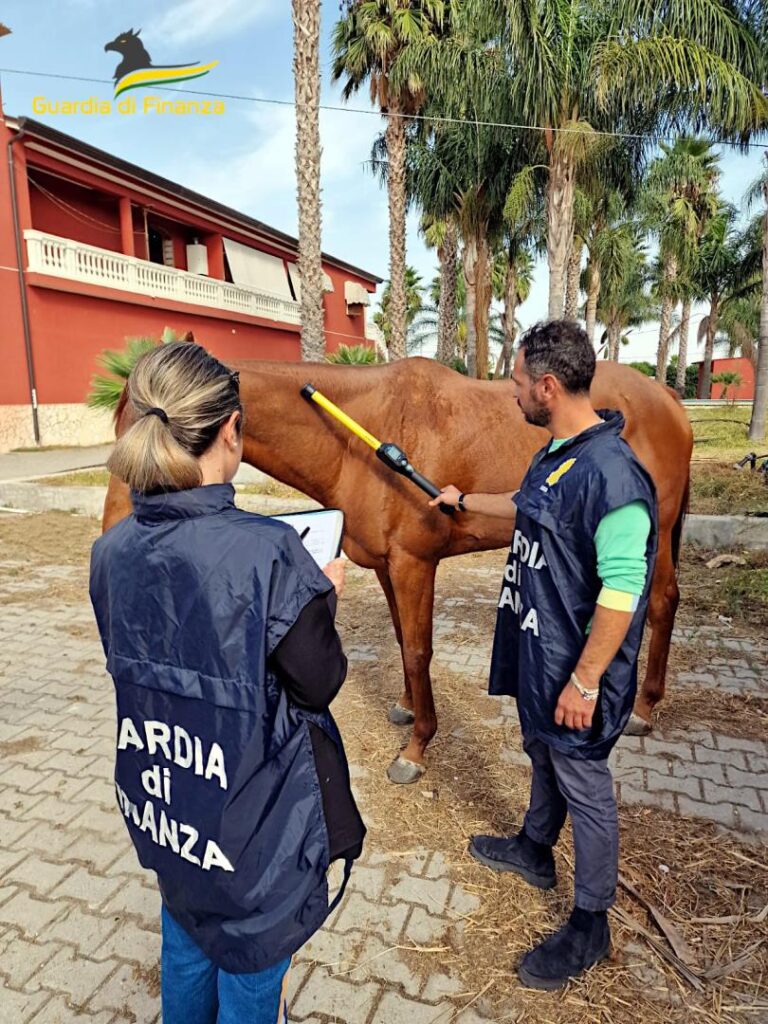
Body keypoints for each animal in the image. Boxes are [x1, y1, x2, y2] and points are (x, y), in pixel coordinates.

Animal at [100, 358, 692, 782]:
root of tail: (665, 397)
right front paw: (407, 711)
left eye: (163, 437)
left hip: (655, 532)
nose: (113, 528)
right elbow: (403, 640)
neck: (364, 435)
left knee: (661, 602)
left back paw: (643, 709)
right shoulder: (387, 566)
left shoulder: (414, 564)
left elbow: (417, 649)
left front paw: (416, 748)